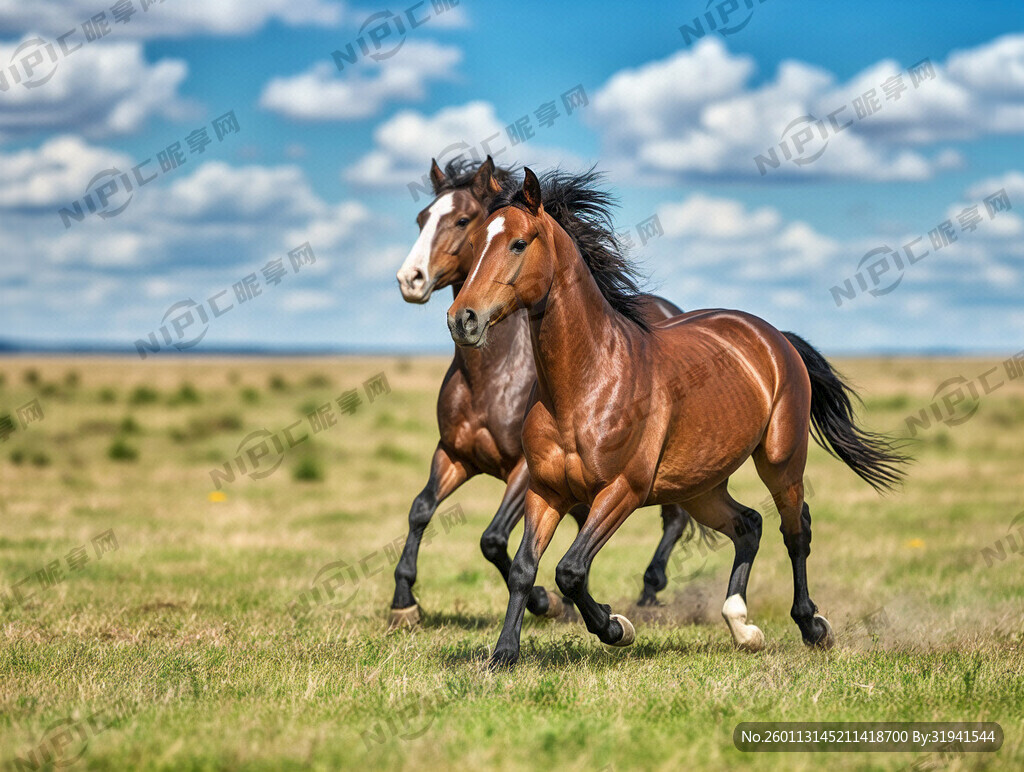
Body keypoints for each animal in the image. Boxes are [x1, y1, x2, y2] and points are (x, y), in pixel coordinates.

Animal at [389, 157, 707, 629]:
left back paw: (649, 592)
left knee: (675, 517)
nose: (411, 280)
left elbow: (492, 538)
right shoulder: (454, 454)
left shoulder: (524, 469)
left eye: (462, 219)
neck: (492, 376)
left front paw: (543, 600)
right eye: (421, 218)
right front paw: (404, 601)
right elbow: (421, 509)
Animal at [447, 167, 909, 668]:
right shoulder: (545, 489)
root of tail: (774, 338)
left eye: (518, 243)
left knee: (795, 531)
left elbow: (570, 569)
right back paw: (741, 626)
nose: (462, 319)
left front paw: (616, 627)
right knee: (749, 525)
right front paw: (503, 655)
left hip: (781, 462)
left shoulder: (623, 490)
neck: (587, 385)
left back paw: (812, 626)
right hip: (699, 485)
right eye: (474, 243)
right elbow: (522, 568)